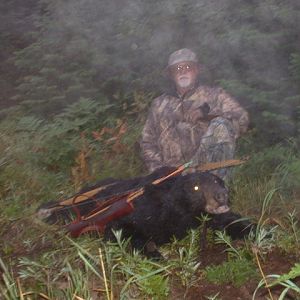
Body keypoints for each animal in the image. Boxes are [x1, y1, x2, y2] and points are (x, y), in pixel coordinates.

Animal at [38, 166, 253, 258]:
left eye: (218, 181)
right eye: (196, 187)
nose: (221, 196)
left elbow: (229, 221)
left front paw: (252, 230)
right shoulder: (140, 212)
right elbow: (120, 230)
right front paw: (154, 254)